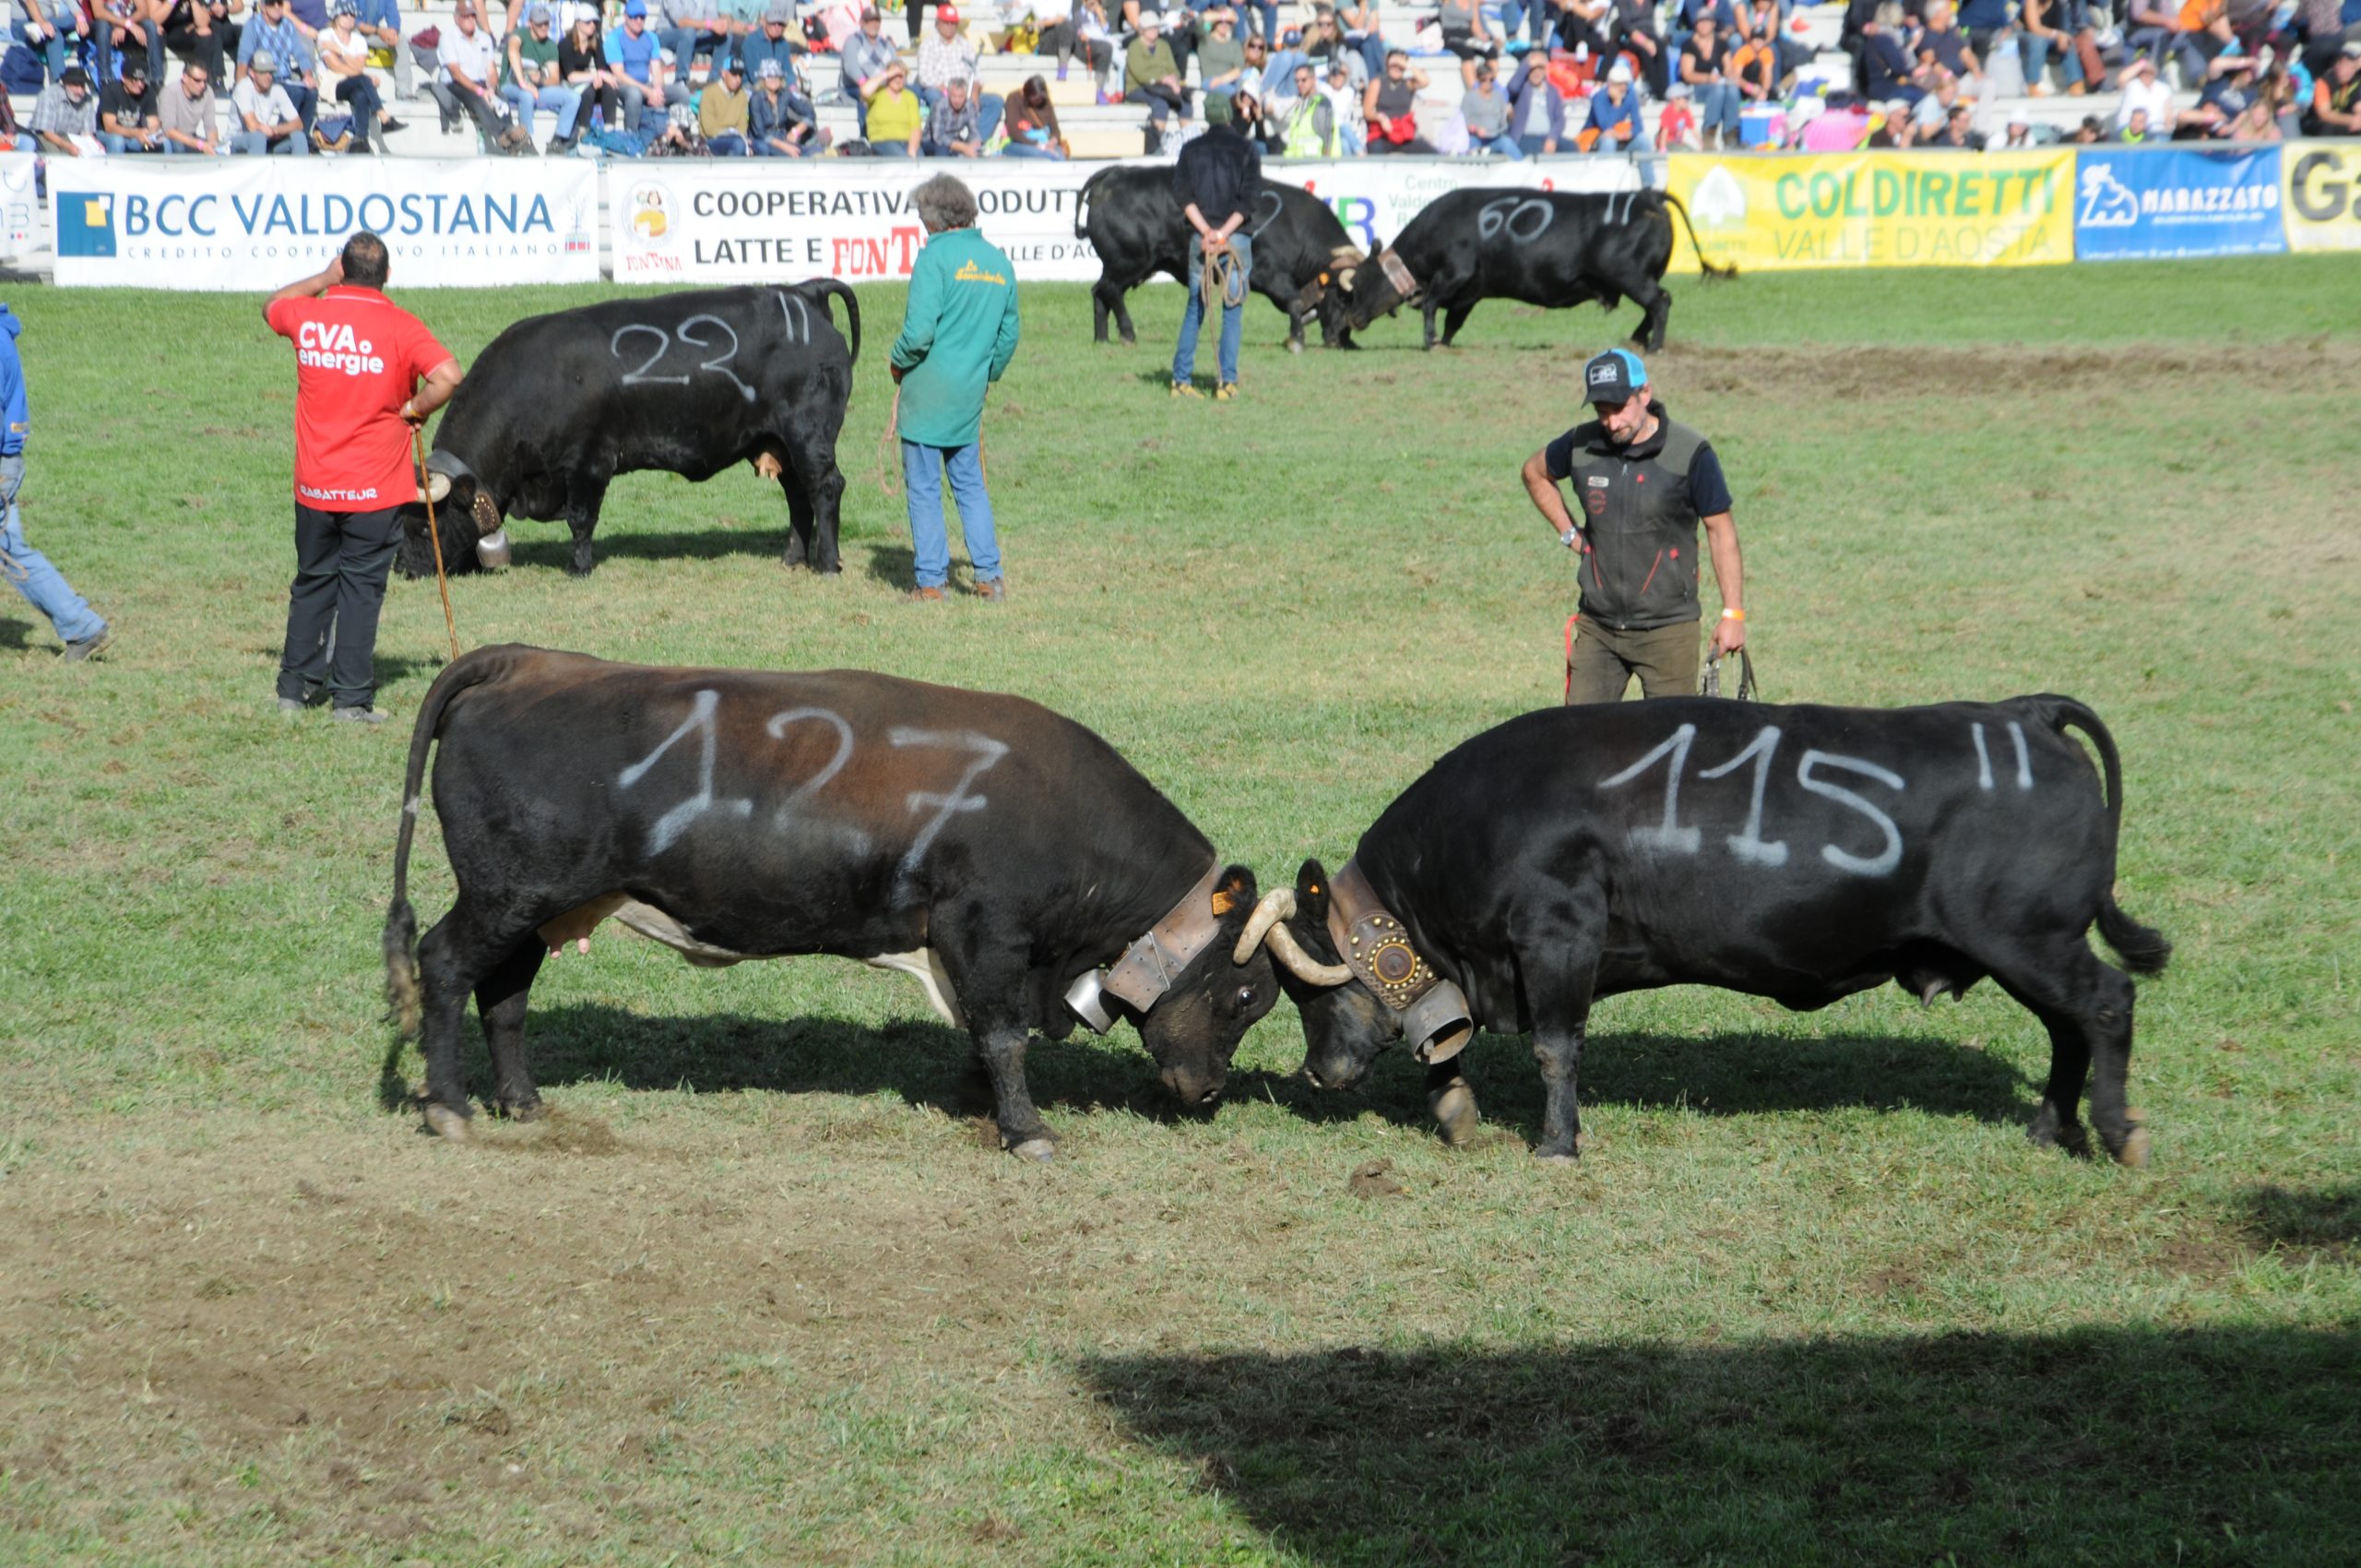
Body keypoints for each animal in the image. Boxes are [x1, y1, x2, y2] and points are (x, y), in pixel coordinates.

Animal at [380, 642, 1284, 1157]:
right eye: (1246, 995)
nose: (1208, 1092)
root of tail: (528, 662)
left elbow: (985, 1035)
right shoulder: (986, 928)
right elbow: (1003, 1036)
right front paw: (1025, 1131)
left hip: (540, 904)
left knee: (505, 993)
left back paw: (524, 1104)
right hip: (505, 893)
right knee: (444, 964)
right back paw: (450, 1108)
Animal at [397, 279, 859, 578]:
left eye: (422, 527)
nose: (404, 569)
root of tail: (801, 293)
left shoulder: (588, 462)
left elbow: (581, 518)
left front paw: (578, 567)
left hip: (808, 436)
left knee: (825, 487)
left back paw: (826, 563)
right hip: (779, 442)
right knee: (799, 496)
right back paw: (793, 558)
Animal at [1076, 170, 1369, 356]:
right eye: (1344, 298)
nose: (1342, 340)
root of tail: (1114, 174)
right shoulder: (1270, 275)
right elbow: (1295, 302)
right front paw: (1297, 341)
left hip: (1125, 266)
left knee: (1100, 292)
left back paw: (1102, 338)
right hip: (1127, 262)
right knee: (1111, 291)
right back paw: (1127, 334)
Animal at [1237, 694, 2172, 1161]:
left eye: (1303, 993)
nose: (1317, 1073)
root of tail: (2021, 712)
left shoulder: (1556, 936)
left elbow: (1555, 1050)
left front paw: (1557, 1145)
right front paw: (1455, 1108)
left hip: (2031, 936)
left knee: (2106, 1003)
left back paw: (2118, 1132)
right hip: (2026, 947)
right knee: (2069, 1027)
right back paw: (2049, 1128)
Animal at [1331, 186, 1738, 351]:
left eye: (1361, 281)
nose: (1350, 318)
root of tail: (1647, 196)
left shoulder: (1454, 274)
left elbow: (1431, 306)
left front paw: (1430, 342)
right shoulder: (1469, 293)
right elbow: (1453, 321)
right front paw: (1444, 342)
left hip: (1631, 276)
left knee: (1660, 303)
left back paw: (1653, 346)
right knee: (1653, 307)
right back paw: (1637, 340)